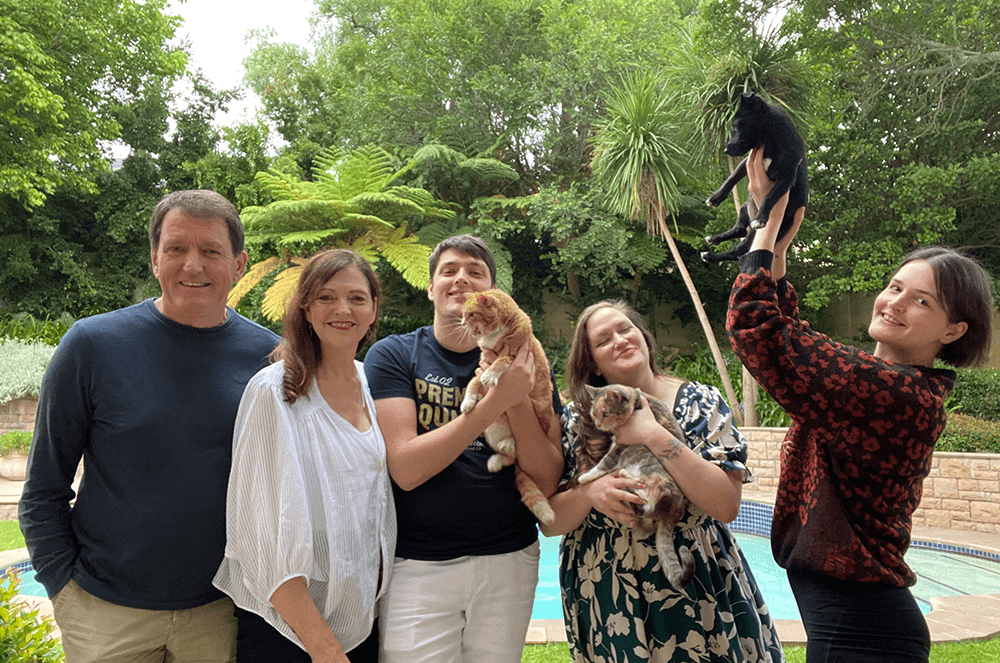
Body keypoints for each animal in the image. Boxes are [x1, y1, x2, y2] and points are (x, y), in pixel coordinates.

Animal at [458, 288, 556, 528]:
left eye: (471, 314)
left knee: (513, 453)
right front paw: (468, 402)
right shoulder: (480, 363)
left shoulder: (512, 356)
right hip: (490, 431)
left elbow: (498, 363)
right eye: (464, 313)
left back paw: (507, 445)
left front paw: (491, 376)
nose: (462, 322)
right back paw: (495, 461)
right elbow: (473, 384)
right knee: (508, 459)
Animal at [580, 384, 696, 592]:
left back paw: (626, 476)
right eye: (594, 415)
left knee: (647, 498)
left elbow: (602, 465)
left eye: (606, 413)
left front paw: (583, 477)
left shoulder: (619, 447)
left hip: (652, 470)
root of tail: (671, 513)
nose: (599, 425)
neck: (637, 399)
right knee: (642, 508)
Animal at [700, 92, 808, 264]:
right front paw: (716, 197)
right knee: (739, 229)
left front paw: (761, 218)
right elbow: (732, 177)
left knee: (739, 250)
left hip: (758, 233)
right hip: (745, 207)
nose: (725, 150)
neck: (769, 143)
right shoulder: (746, 161)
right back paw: (715, 238)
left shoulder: (787, 178)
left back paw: (710, 256)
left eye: (736, 127)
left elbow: (770, 196)